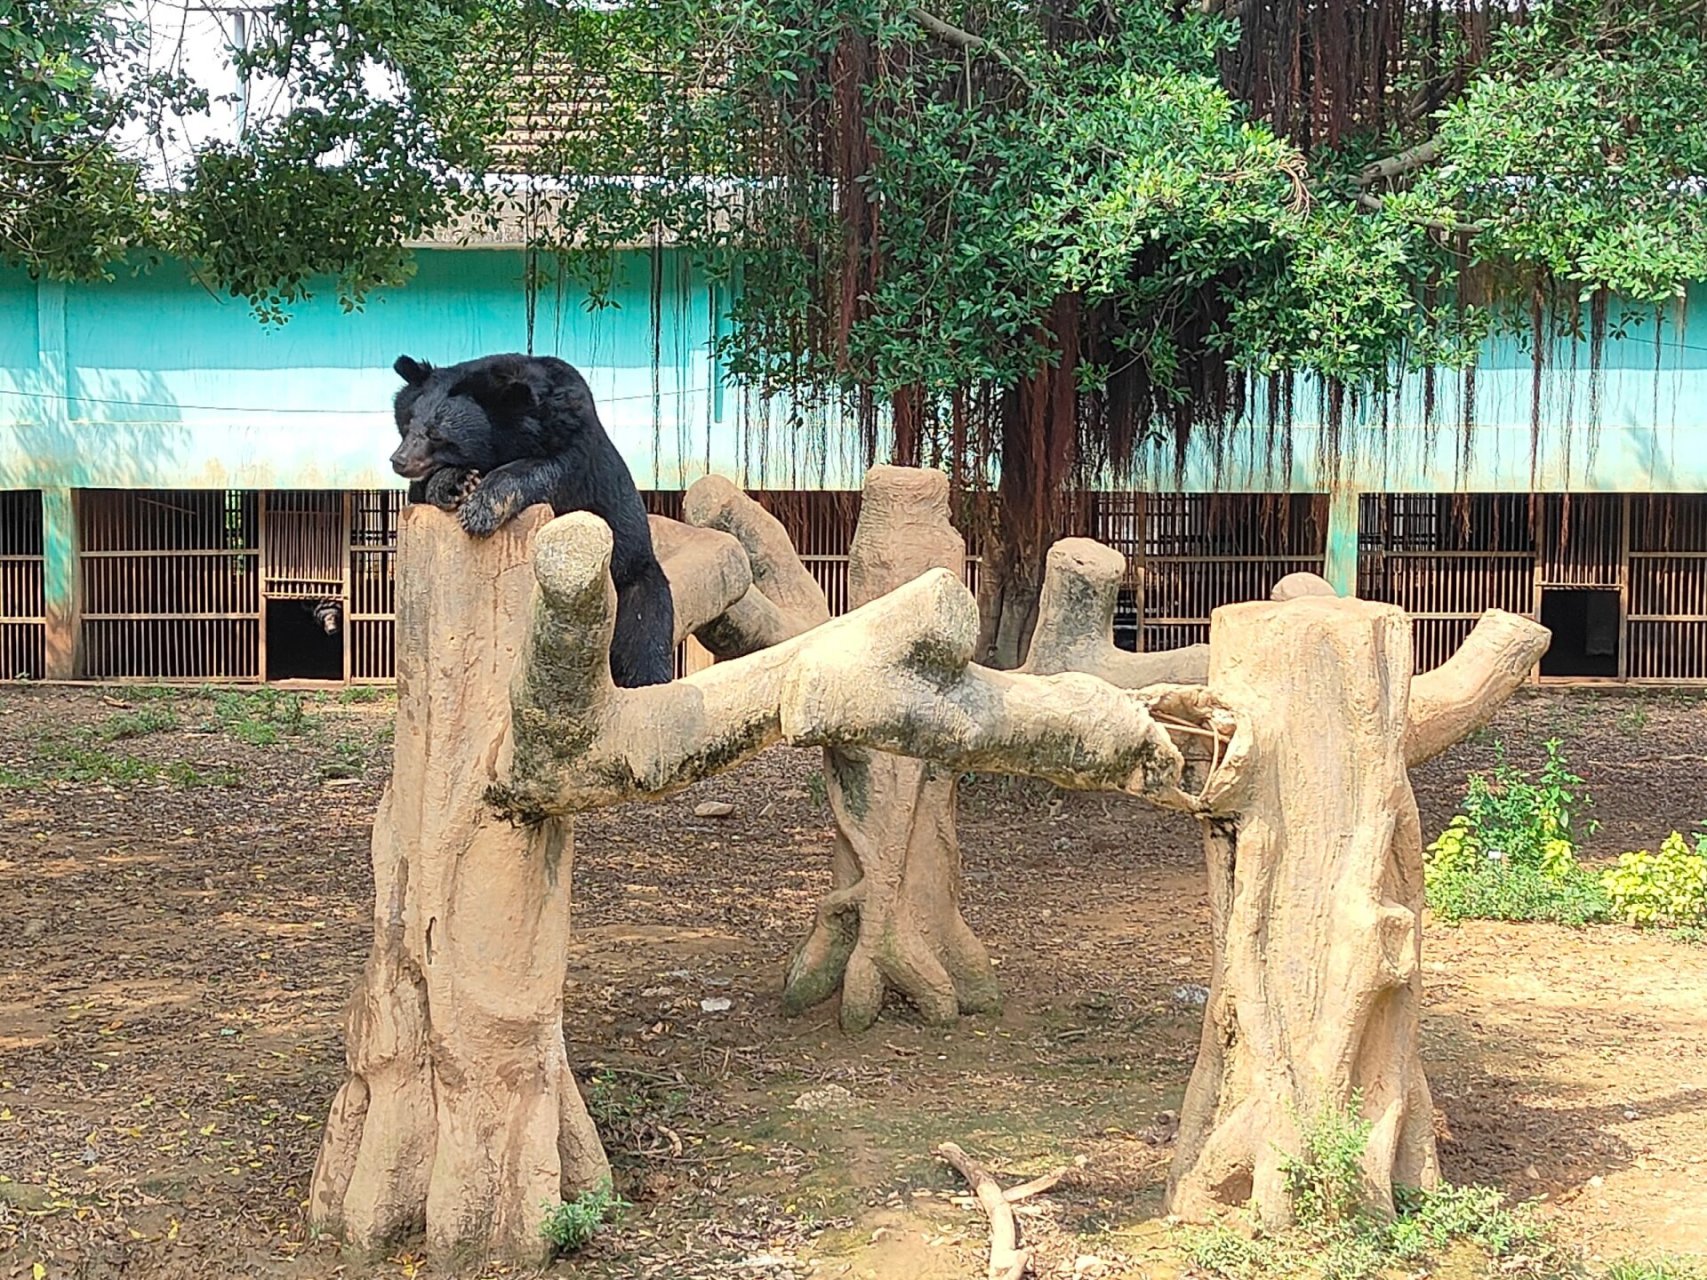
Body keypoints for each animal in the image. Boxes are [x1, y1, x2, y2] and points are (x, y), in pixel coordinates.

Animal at [390, 351, 675, 692]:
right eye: (409, 423)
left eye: (437, 434)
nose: (399, 460)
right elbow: (420, 490)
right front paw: (455, 483)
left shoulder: (572, 436)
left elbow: (539, 469)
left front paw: (480, 509)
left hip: (635, 582)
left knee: (644, 641)